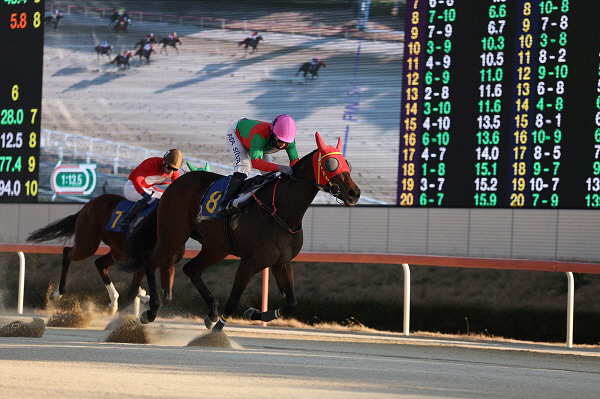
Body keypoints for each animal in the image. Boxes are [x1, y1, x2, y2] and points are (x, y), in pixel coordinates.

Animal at [27, 195, 183, 316]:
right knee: (67, 253)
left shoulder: (165, 264)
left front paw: (145, 297)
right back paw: (57, 293)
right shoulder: (144, 260)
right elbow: (133, 290)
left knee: (100, 263)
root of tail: (89, 204)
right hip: (88, 243)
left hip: (118, 252)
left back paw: (114, 303)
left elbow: (157, 292)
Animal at [119, 133, 358, 330]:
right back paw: (151, 311)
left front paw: (252, 313)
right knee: (150, 261)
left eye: (347, 163)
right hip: (172, 236)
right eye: (330, 163)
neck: (281, 212)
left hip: (216, 247)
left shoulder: (281, 263)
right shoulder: (249, 262)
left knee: (191, 269)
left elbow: (291, 303)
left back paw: (211, 312)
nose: (354, 193)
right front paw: (217, 333)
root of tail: (175, 184)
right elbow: (233, 300)